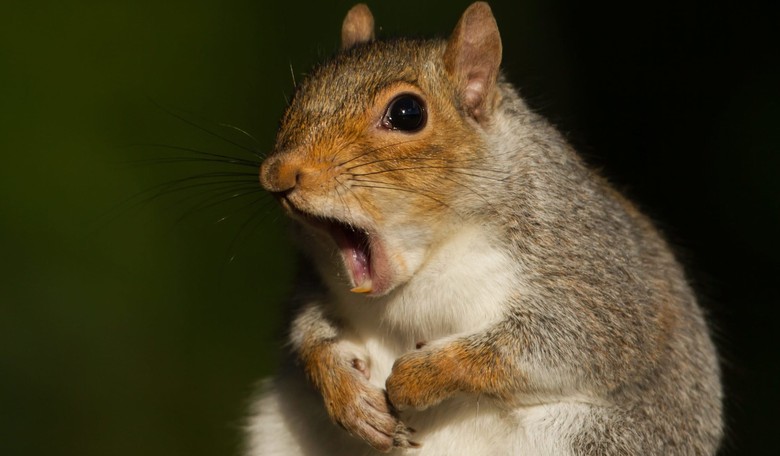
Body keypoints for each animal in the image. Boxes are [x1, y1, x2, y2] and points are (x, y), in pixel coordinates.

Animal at [246, 3, 723, 455]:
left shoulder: (592, 274)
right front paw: (346, 393)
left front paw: (419, 376)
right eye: (298, 93)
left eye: (407, 112)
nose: (277, 173)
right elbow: (309, 331)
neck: (426, 265)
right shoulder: (316, 282)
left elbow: (560, 344)